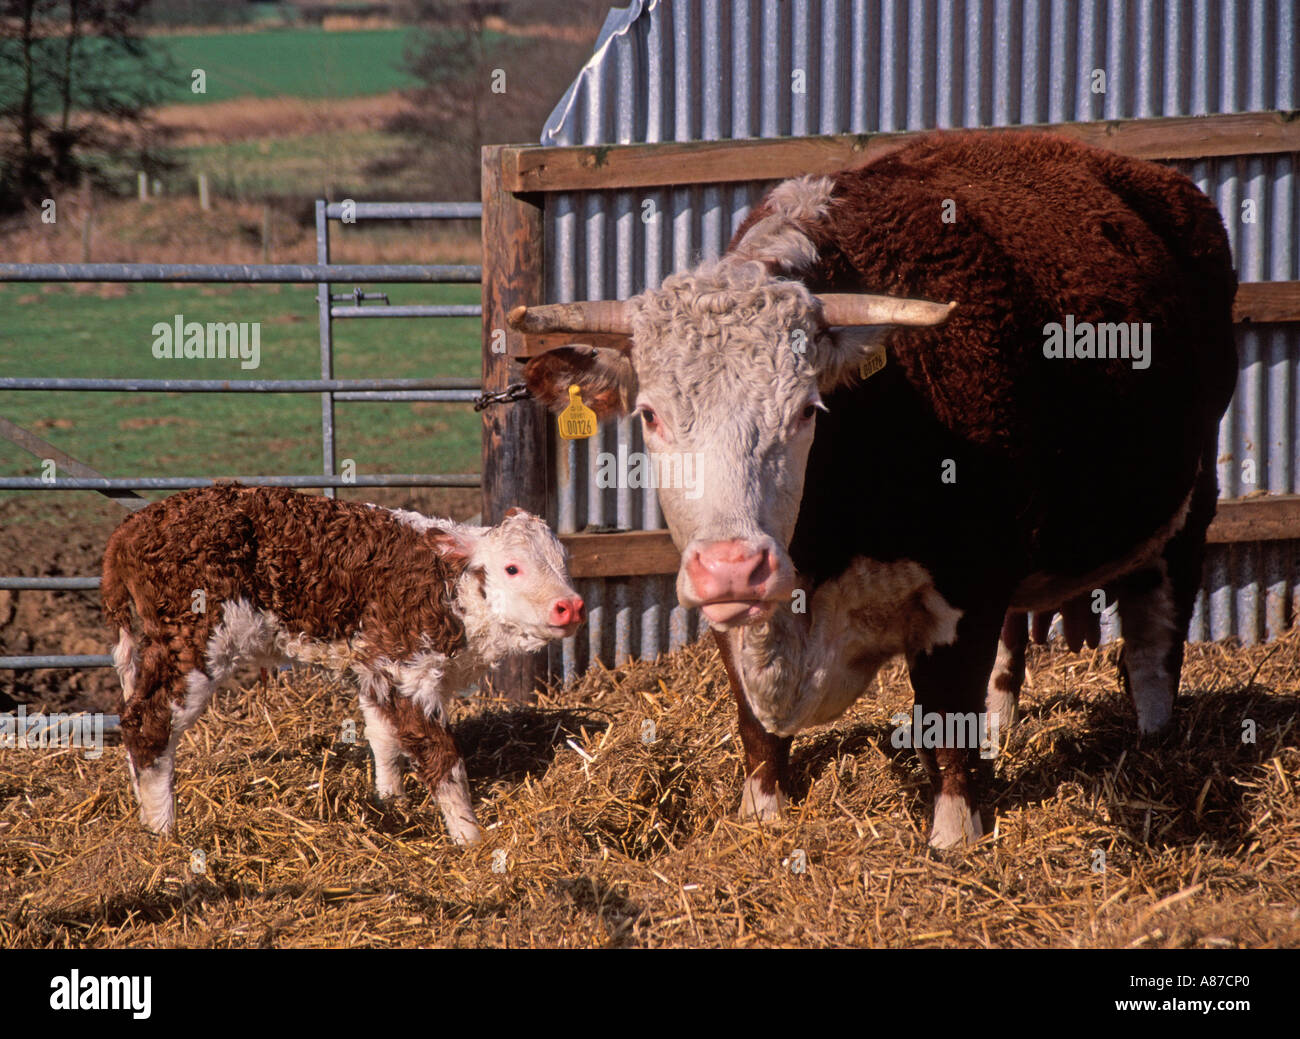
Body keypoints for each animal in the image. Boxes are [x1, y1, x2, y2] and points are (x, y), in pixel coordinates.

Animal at [102, 485, 585, 844]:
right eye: (512, 568)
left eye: (563, 563)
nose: (571, 606)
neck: (450, 589)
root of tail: (136, 524)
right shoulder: (409, 671)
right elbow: (442, 759)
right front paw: (470, 837)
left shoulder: (375, 668)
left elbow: (384, 738)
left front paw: (392, 804)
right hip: (193, 642)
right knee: (148, 724)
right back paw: (163, 831)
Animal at [510, 131, 1238, 847]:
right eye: (650, 414)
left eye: (807, 410)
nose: (735, 567)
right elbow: (755, 725)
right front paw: (761, 816)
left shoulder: (970, 582)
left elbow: (947, 718)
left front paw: (954, 836)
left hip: (1190, 495)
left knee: (1154, 639)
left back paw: (1153, 741)